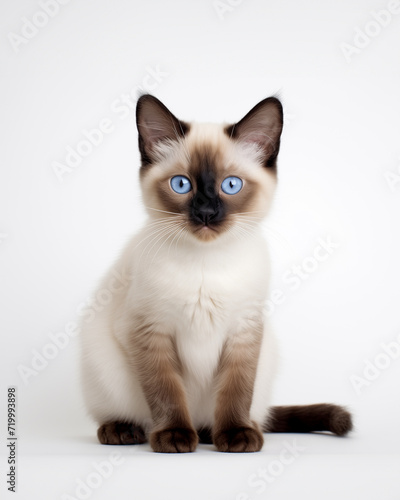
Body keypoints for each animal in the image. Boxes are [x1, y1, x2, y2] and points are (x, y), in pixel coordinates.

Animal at [79, 94, 352, 454]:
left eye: (230, 185)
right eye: (181, 184)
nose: (206, 213)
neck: (206, 263)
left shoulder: (243, 334)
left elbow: (236, 392)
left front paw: (236, 435)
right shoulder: (149, 332)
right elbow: (166, 392)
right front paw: (174, 437)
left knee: (242, 413)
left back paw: (217, 432)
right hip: (103, 366)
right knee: (122, 413)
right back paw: (125, 430)